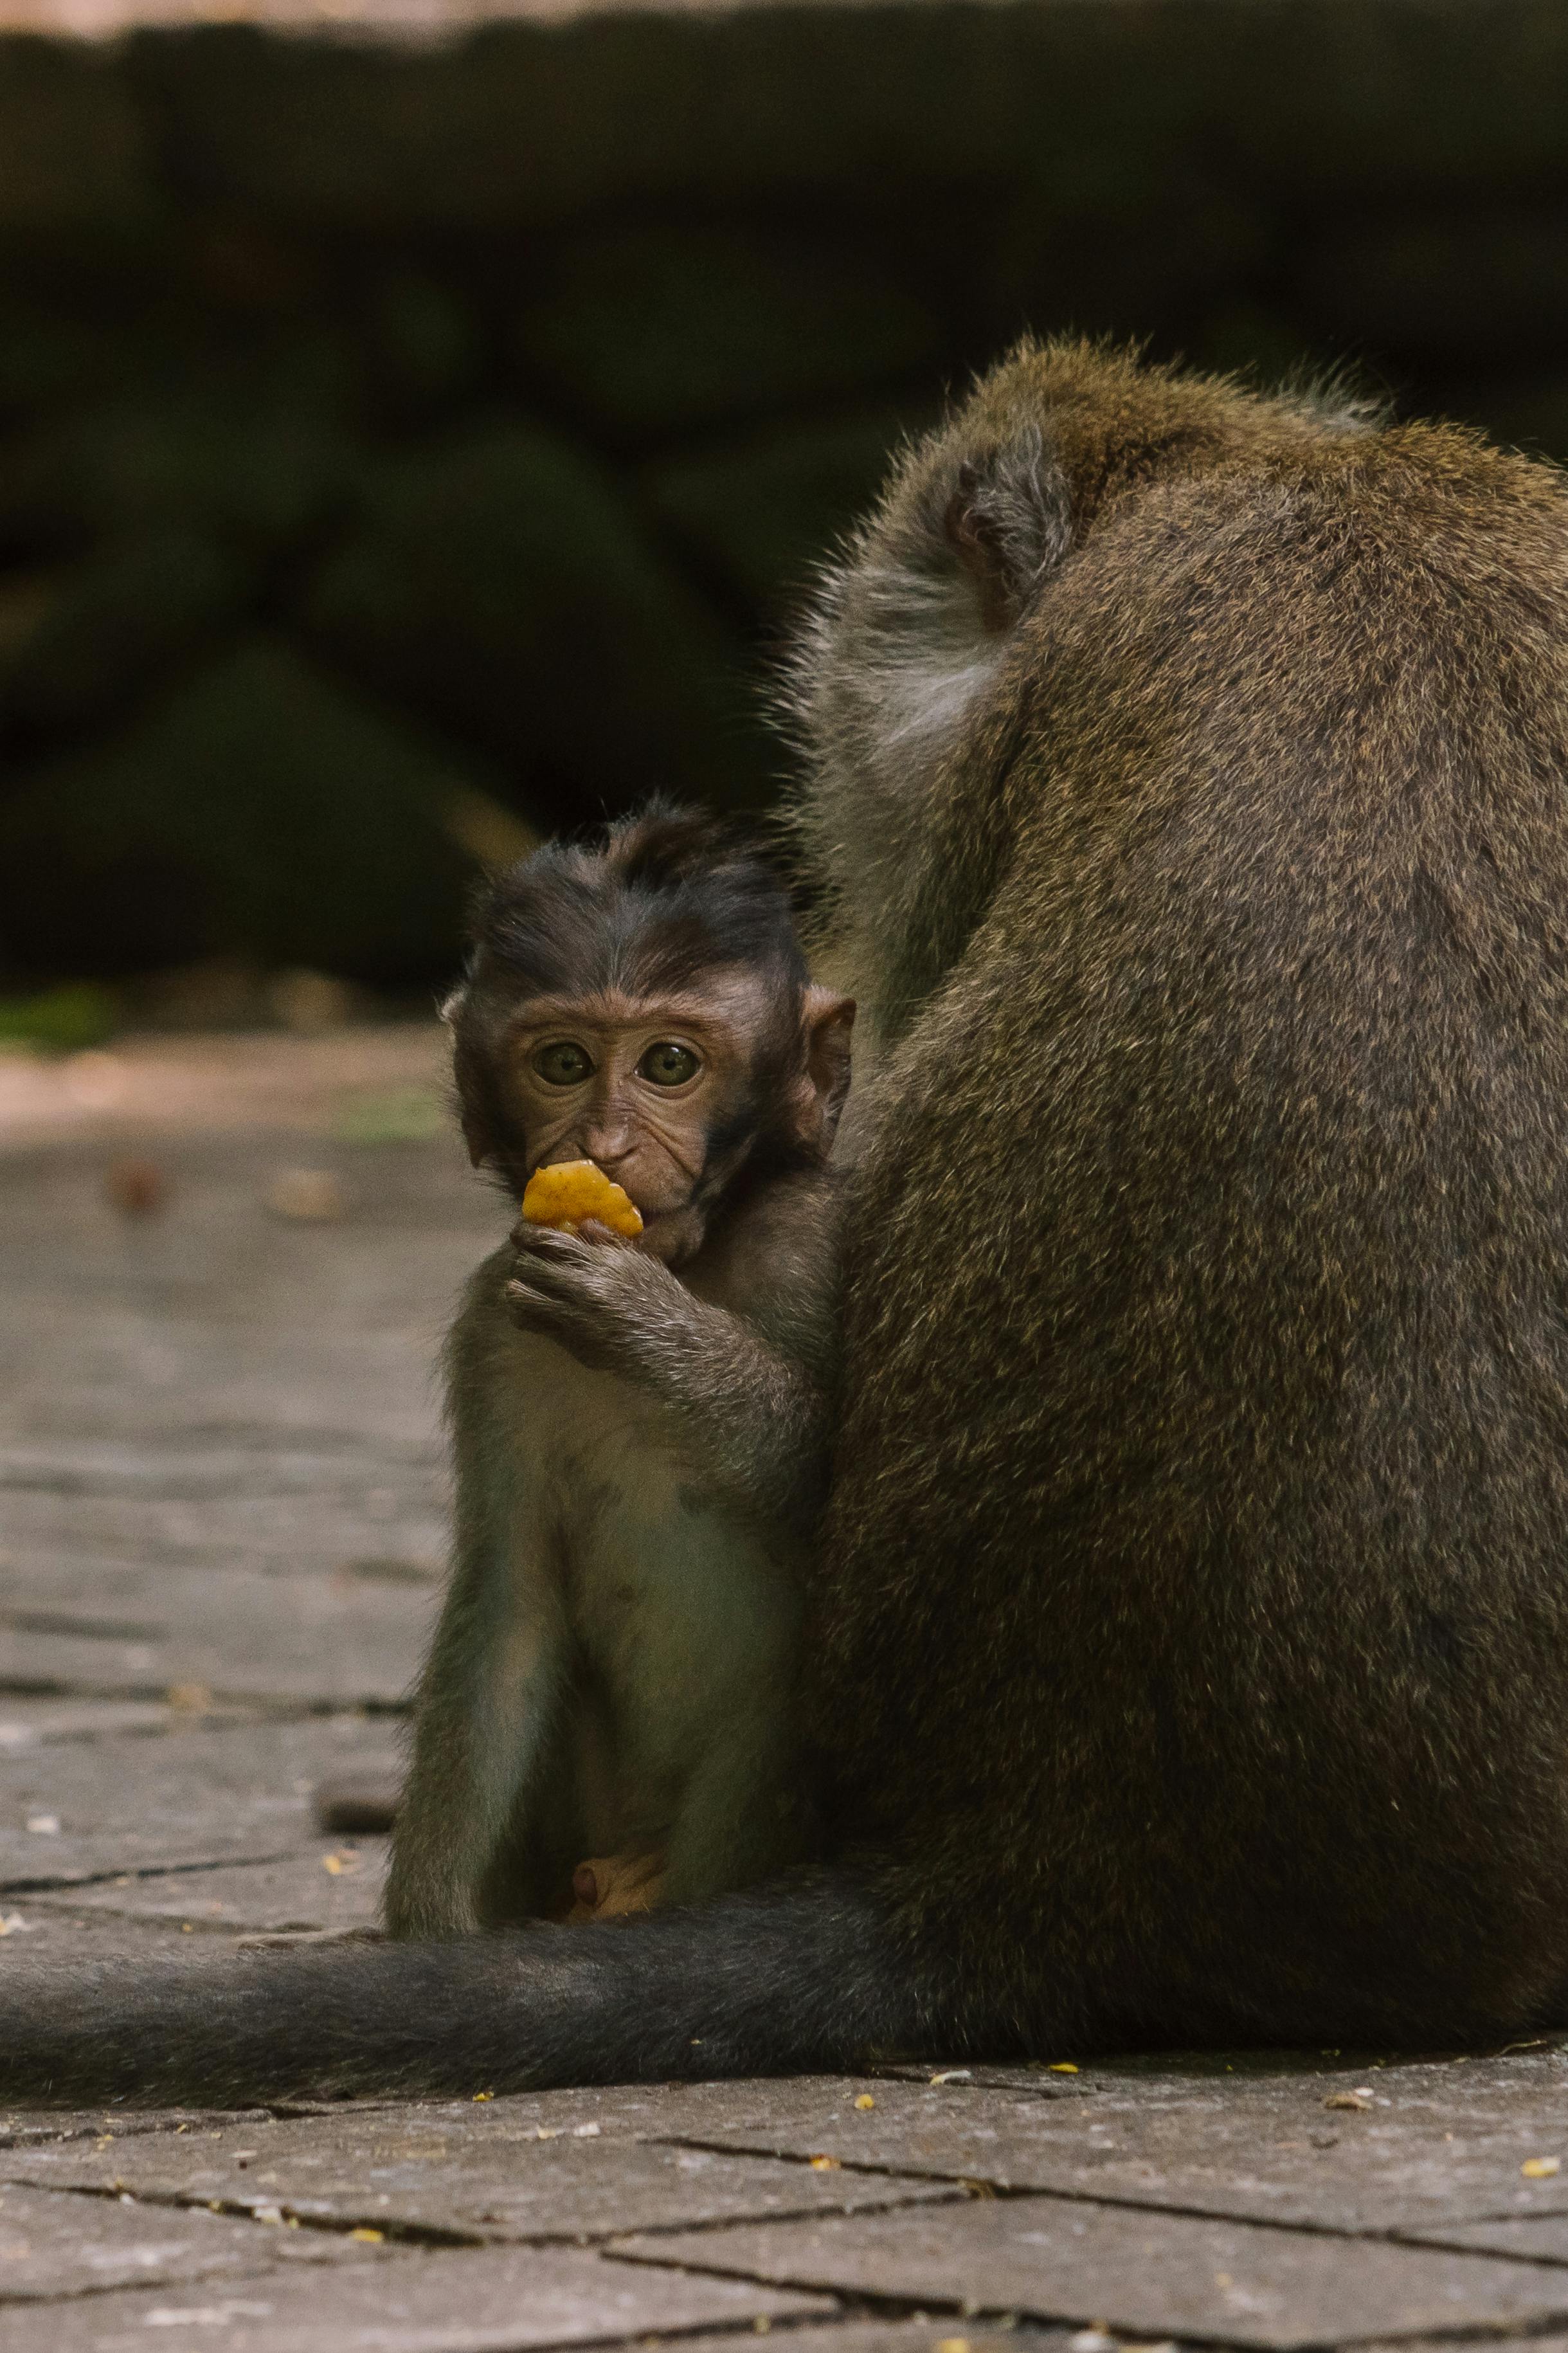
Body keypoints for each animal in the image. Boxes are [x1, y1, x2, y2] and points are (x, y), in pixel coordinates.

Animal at [385, 800, 851, 1939]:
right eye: (561, 1063)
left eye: (668, 1064)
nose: (601, 1142)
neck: (700, 1252)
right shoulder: (493, 1330)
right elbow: (508, 1608)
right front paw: (428, 1935)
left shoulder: (811, 1243)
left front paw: (646, 1326)